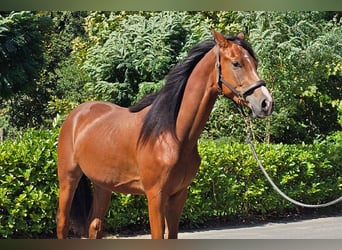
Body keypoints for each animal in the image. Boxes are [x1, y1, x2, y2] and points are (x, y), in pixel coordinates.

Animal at [56, 29, 276, 238]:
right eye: (237, 63)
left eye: (255, 63)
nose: (266, 103)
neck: (173, 136)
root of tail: (76, 116)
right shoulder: (155, 196)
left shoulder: (178, 195)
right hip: (68, 179)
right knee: (62, 224)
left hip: (103, 185)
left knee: (94, 226)